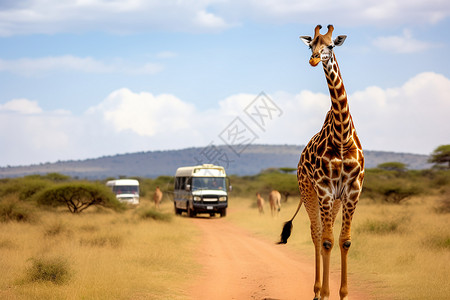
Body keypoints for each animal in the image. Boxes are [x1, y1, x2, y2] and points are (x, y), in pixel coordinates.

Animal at [278, 25, 366, 300]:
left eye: (331, 45)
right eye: (311, 45)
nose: (314, 59)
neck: (342, 136)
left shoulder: (352, 191)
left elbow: (344, 240)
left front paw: (343, 294)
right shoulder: (325, 190)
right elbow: (326, 240)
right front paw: (326, 293)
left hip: (334, 200)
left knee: (325, 234)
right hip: (309, 192)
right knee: (316, 234)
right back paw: (316, 290)